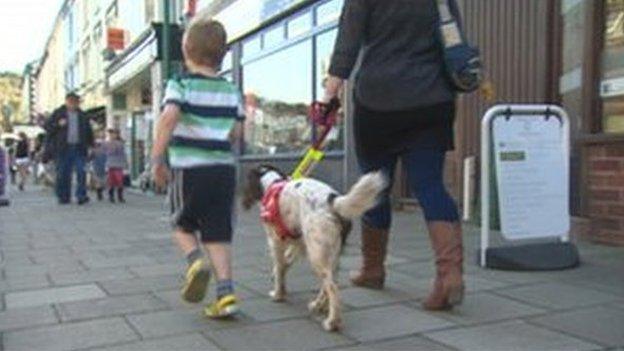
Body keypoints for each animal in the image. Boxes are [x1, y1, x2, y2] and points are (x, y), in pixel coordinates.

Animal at [243, 166, 386, 332]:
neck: (273, 182)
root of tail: (332, 200)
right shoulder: (298, 243)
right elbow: (284, 265)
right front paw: (282, 289)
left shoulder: (275, 241)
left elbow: (279, 268)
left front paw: (278, 294)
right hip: (331, 255)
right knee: (330, 282)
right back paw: (320, 305)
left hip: (317, 254)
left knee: (332, 287)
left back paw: (332, 322)